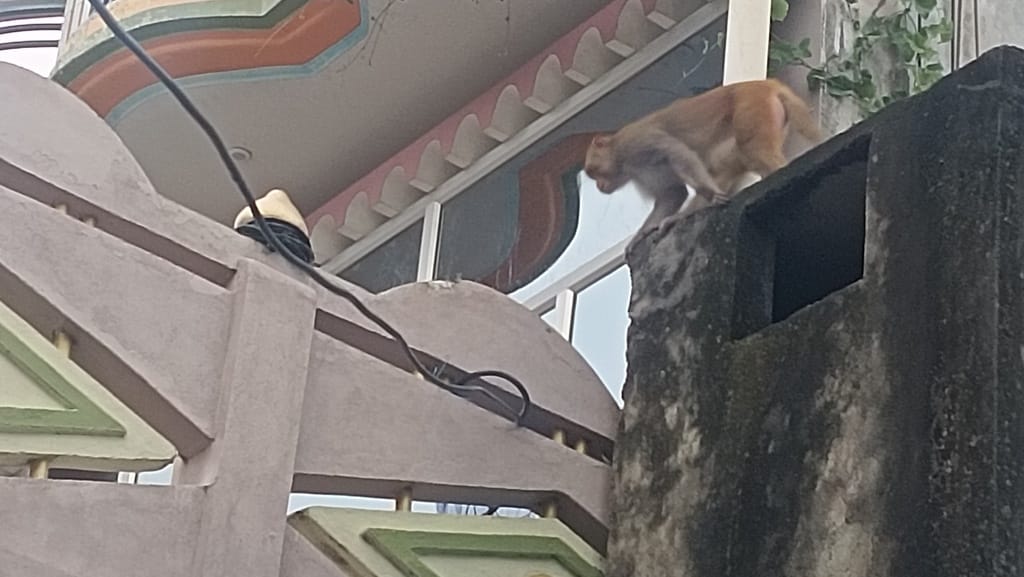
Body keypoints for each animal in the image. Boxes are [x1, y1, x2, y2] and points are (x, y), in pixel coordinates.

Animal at [583, 78, 822, 249]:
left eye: (593, 171)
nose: (599, 186)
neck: (621, 158)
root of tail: (768, 84)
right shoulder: (641, 172)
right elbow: (673, 193)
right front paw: (641, 235)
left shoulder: (636, 143)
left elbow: (676, 151)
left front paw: (712, 195)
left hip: (753, 107)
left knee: (753, 150)